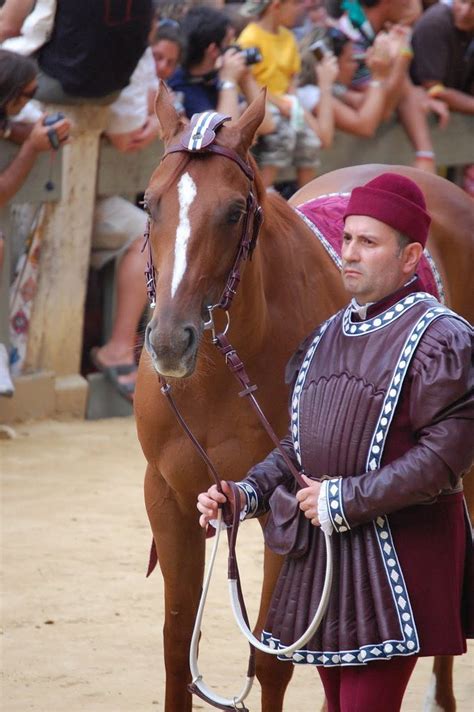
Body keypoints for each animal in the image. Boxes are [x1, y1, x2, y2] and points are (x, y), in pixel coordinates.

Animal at [135, 89, 472, 712]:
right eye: (150, 205)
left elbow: (271, 660)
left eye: (234, 211)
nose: (169, 341)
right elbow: (176, 647)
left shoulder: (291, 505)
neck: (217, 379)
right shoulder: (169, 499)